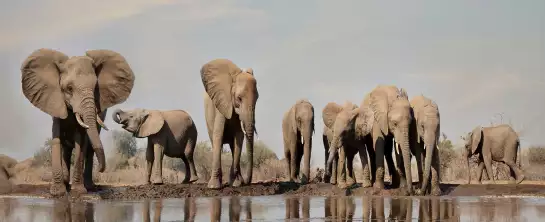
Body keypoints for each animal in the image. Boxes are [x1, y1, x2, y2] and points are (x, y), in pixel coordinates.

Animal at [19, 47, 135, 195]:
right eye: (69, 88)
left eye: (95, 88)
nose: (101, 169)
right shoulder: (55, 103)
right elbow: (56, 138)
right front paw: (58, 192)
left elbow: (81, 140)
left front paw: (79, 191)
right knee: (67, 149)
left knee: (89, 148)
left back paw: (89, 186)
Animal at [201, 59, 258, 189]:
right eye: (239, 98)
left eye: (257, 98)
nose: (247, 182)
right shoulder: (221, 103)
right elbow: (218, 134)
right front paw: (214, 187)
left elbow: (239, 136)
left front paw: (236, 184)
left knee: (233, 145)